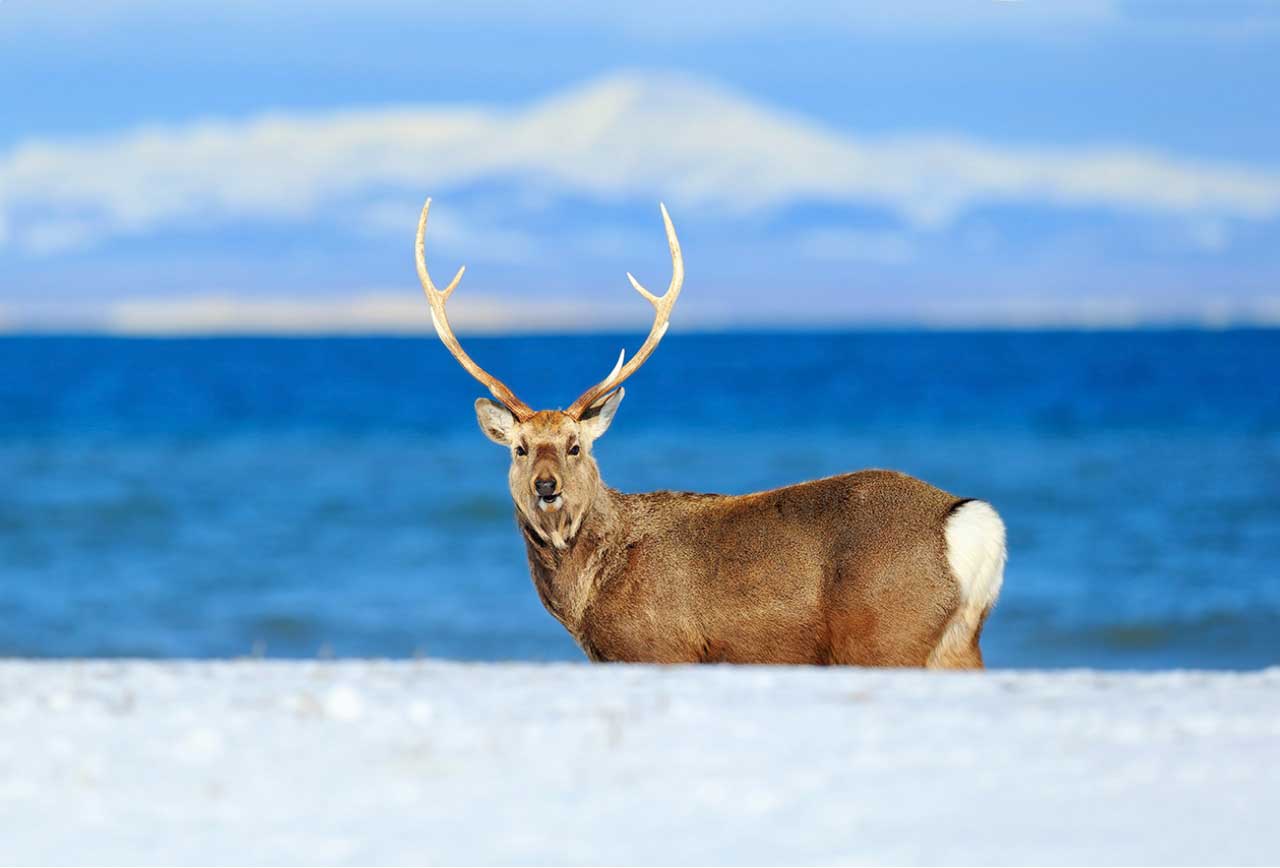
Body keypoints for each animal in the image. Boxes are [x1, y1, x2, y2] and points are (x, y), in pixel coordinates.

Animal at [414, 200, 1003, 670]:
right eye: (519, 448)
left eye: (575, 446)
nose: (545, 485)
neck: (587, 597)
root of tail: (971, 523)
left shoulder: (658, 647)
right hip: (955, 644)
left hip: (886, 635)